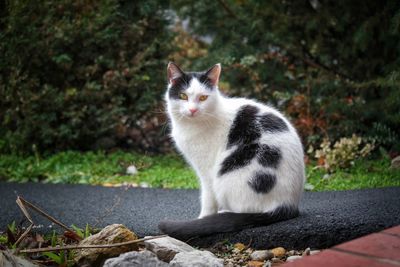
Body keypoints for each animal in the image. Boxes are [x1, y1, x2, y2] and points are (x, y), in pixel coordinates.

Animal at [158, 62, 304, 241]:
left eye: (203, 98)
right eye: (183, 96)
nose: (192, 110)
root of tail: (287, 204)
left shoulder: (207, 172)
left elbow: (208, 199)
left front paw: (203, 218)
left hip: (228, 176)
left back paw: (223, 214)